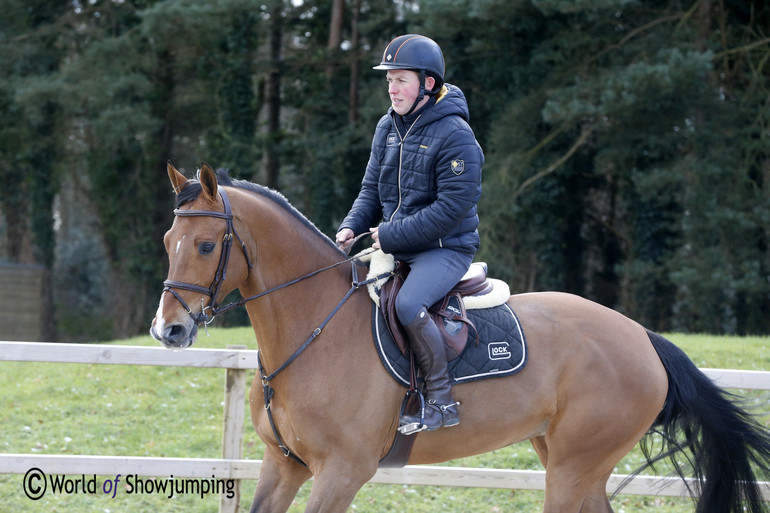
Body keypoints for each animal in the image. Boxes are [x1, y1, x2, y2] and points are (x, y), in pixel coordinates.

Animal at [150, 163, 768, 512]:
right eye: (167, 241)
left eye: (206, 246)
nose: (168, 330)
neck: (312, 329)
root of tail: (643, 337)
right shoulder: (284, 466)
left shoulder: (342, 472)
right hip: (570, 459)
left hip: (573, 469)